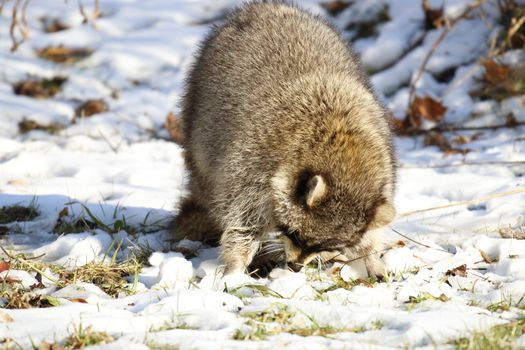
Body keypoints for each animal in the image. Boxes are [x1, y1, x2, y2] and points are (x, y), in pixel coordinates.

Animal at [170, 1, 396, 278]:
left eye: (323, 244)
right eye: (295, 234)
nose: (295, 267)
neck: (341, 142)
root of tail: (265, 7)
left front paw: (371, 256)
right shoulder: (252, 166)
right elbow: (242, 223)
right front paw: (235, 267)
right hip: (198, 119)